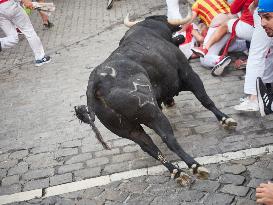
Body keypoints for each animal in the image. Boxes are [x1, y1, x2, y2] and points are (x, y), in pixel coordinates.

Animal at [74, 15, 236, 185]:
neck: (147, 30)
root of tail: (95, 83)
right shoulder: (188, 75)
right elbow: (205, 100)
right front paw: (226, 120)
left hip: (129, 130)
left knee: (149, 147)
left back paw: (177, 172)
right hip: (152, 114)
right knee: (168, 139)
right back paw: (195, 167)